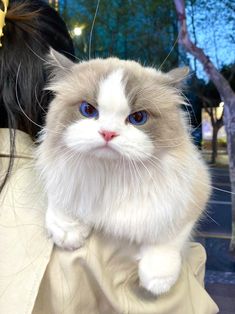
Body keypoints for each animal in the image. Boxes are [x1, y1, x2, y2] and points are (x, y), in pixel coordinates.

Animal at [37, 50, 211, 296]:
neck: (111, 174)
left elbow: (167, 236)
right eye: (88, 110)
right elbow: (61, 202)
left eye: (138, 118)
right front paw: (69, 234)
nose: (108, 133)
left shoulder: (193, 194)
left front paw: (157, 279)